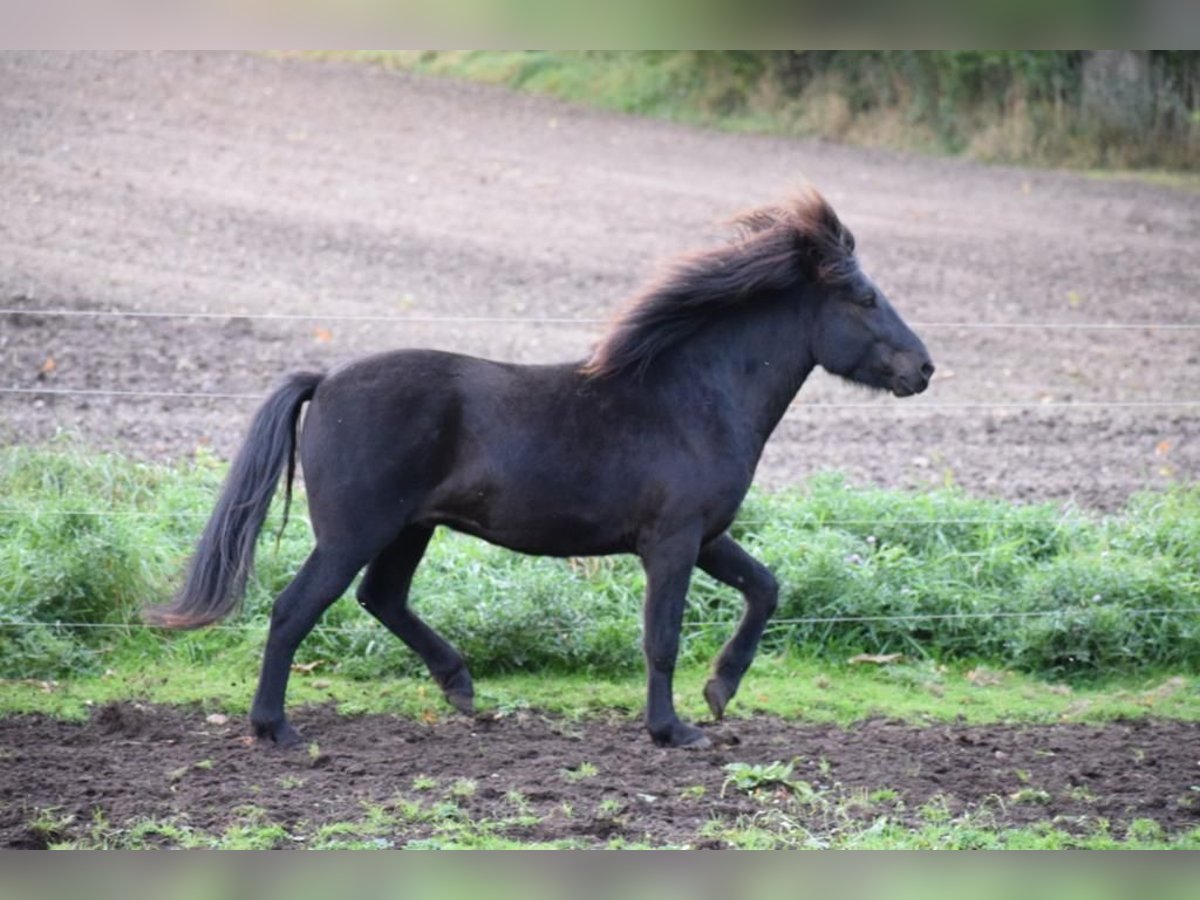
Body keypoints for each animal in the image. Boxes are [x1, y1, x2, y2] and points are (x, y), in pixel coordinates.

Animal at [145, 192, 936, 753]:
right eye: (864, 297)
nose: (924, 369)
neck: (694, 396)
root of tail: (327, 379)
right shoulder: (672, 542)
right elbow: (662, 636)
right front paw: (673, 730)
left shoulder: (707, 537)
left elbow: (765, 589)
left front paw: (720, 691)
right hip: (354, 533)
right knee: (293, 610)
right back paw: (275, 728)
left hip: (410, 529)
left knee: (381, 599)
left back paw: (463, 690)